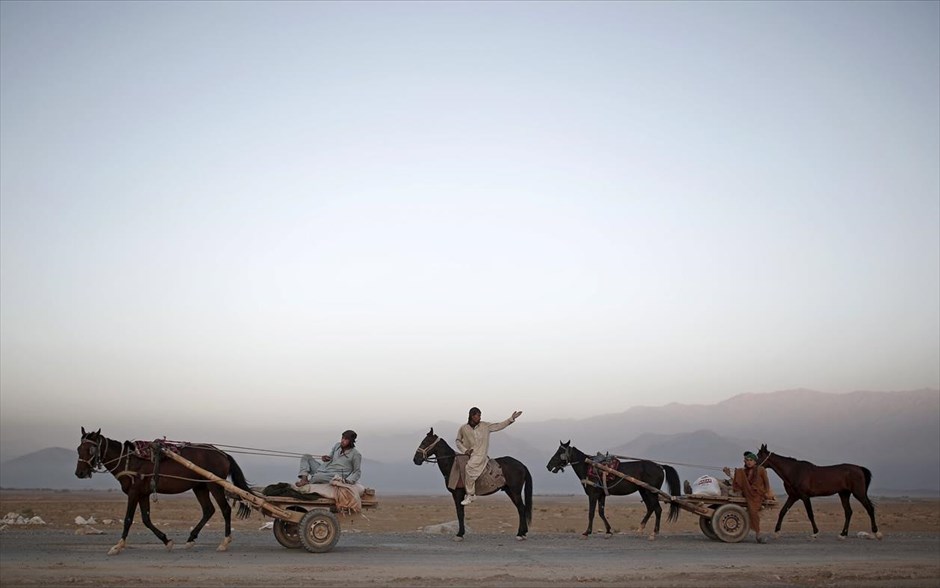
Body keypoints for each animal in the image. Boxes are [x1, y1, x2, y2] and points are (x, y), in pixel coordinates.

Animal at [75, 428, 253, 556]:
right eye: (78, 449)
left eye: (91, 449)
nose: (79, 473)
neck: (128, 460)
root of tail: (223, 453)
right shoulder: (143, 494)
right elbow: (146, 519)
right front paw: (167, 541)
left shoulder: (134, 492)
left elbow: (128, 519)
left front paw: (118, 546)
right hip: (199, 487)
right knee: (208, 510)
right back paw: (191, 539)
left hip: (214, 485)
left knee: (225, 509)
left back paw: (224, 542)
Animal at [544, 440, 684, 544]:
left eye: (560, 452)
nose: (548, 466)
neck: (588, 466)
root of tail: (660, 466)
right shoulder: (601, 495)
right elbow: (601, 512)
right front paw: (608, 531)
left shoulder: (593, 495)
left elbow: (591, 513)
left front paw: (586, 533)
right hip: (643, 491)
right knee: (650, 508)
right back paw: (640, 529)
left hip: (651, 492)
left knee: (657, 509)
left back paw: (653, 533)